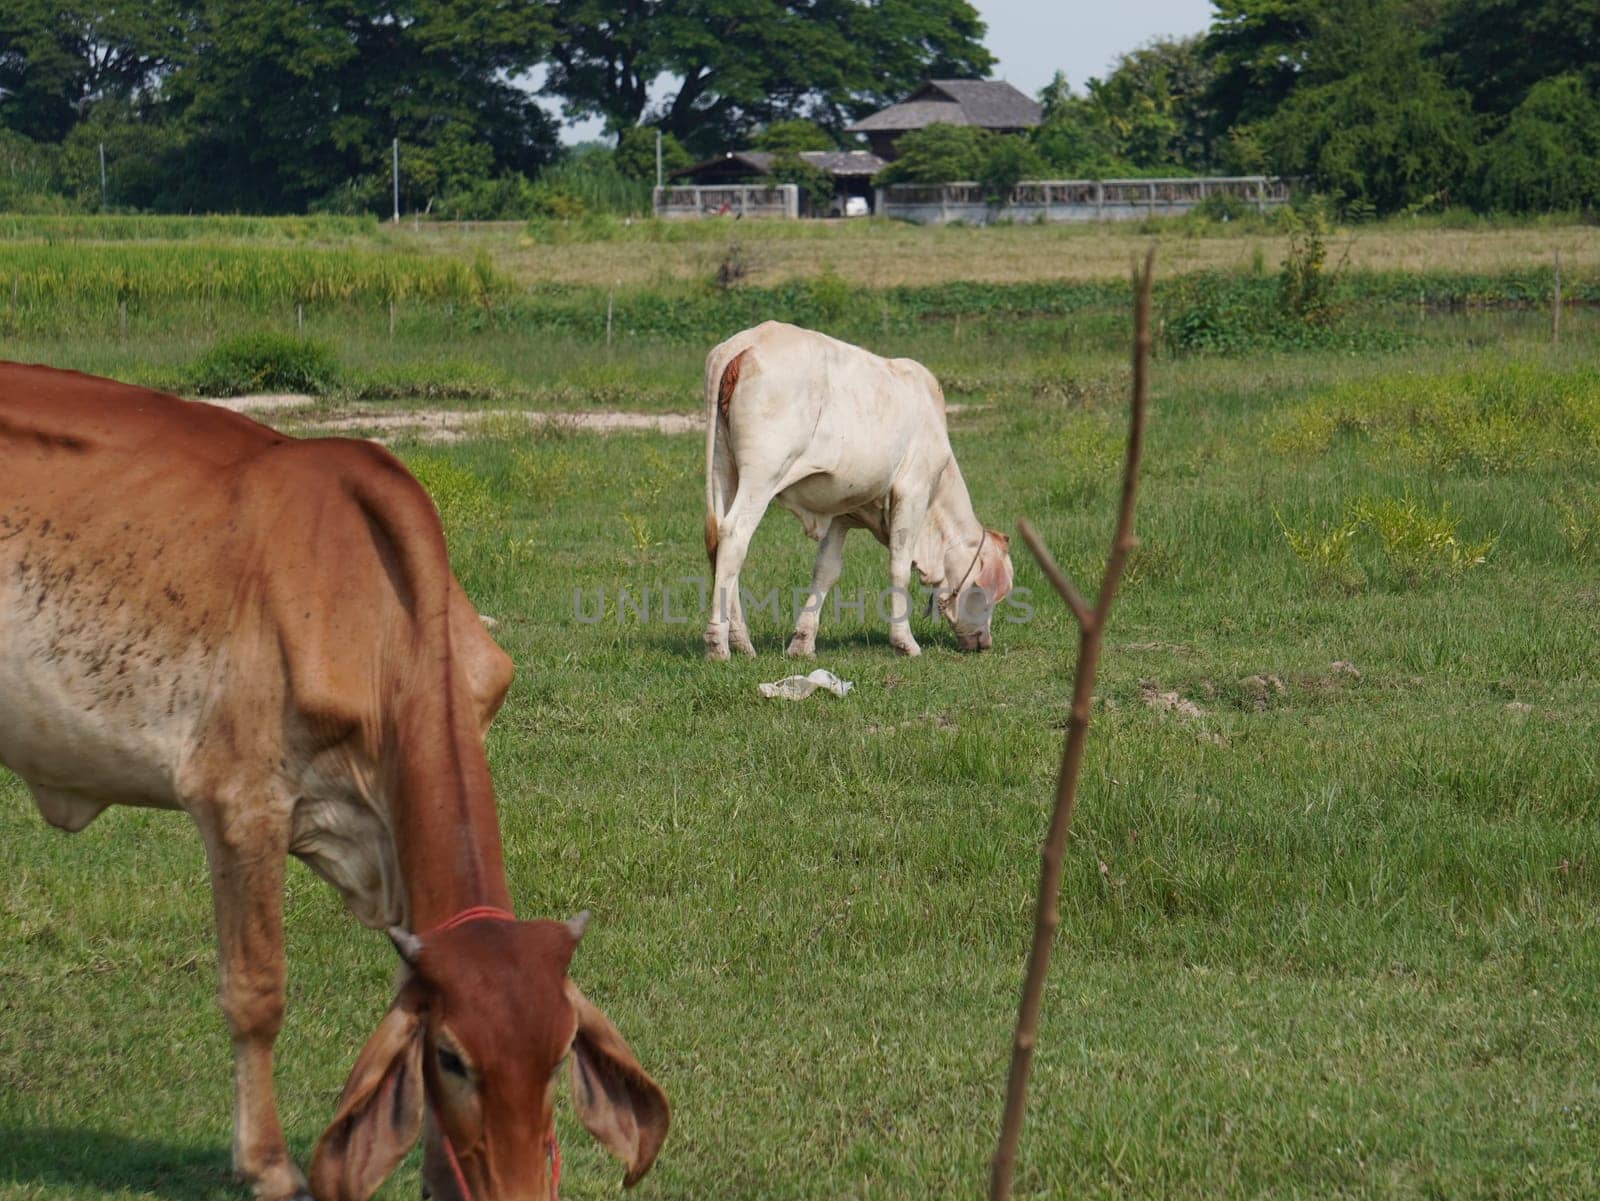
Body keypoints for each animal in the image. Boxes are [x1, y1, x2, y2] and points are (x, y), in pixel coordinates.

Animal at [704, 324, 1011, 662]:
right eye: (990, 596)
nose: (985, 641)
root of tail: (746, 341)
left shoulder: (840, 512)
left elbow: (825, 571)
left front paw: (802, 643)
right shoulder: (913, 492)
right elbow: (899, 567)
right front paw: (904, 642)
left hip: (724, 472)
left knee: (720, 545)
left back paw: (741, 642)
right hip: (762, 475)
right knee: (734, 536)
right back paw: (718, 645)